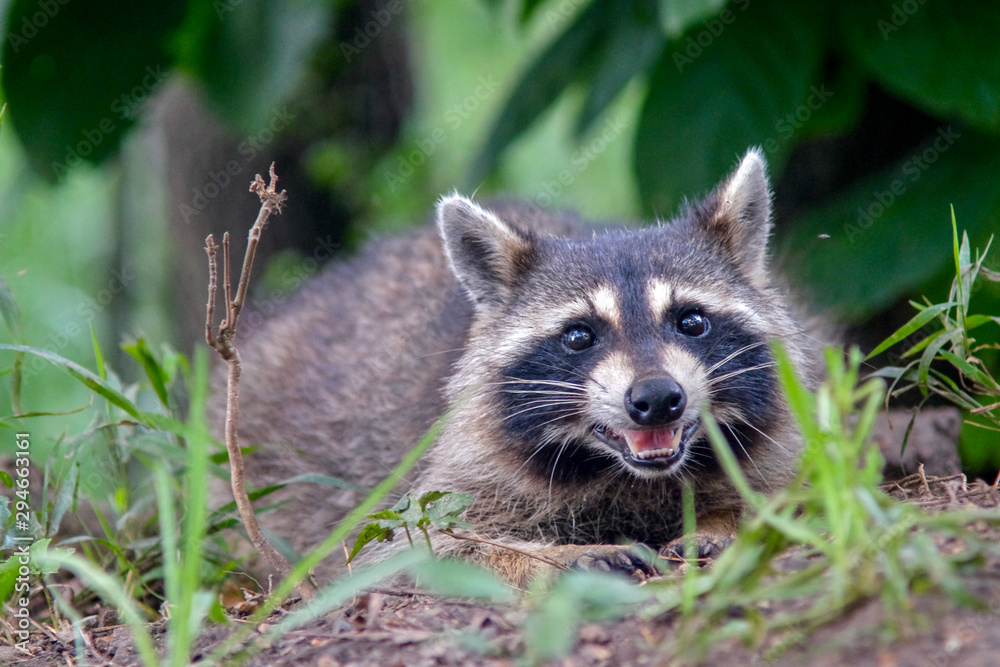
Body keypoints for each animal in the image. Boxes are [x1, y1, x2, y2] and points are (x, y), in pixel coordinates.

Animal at [213, 149, 820, 588]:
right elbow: (408, 552)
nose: (655, 399)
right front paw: (554, 556)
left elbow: (799, 487)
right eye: (579, 336)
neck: (628, 478)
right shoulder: (455, 469)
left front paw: (732, 520)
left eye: (691, 321)